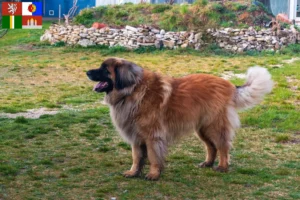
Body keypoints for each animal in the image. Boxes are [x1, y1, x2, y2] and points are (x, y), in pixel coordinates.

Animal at [85, 57, 274, 180]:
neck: (132, 91)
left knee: (222, 147)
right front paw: (133, 172)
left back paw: (222, 167)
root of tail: (230, 85)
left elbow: (153, 156)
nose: (87, 72)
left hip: (214, 126)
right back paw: (207, 163)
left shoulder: (153, 136)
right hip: (202, 129)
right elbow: (137, 157)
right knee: (211, 147)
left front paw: (153, 174)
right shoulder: (136, 136)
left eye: (105, 70)